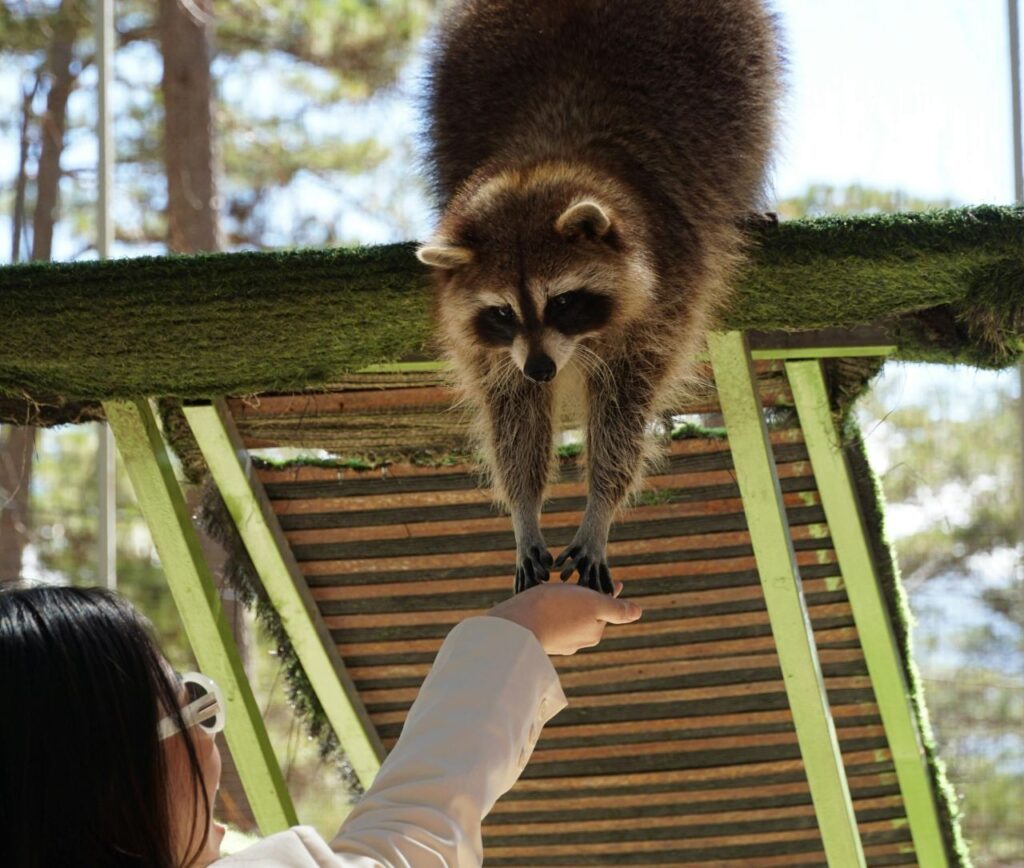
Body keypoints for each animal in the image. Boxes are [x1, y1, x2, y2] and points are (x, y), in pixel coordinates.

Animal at [417, 0, 782, 594]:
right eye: (502, 312)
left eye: (563, 302)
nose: (542, 369)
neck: (542, 159)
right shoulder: (494, 352)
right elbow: (513, 418)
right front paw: (524, 511)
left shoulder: (671, 294)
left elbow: (624, 412)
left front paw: (600, 507)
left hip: (743, 61)